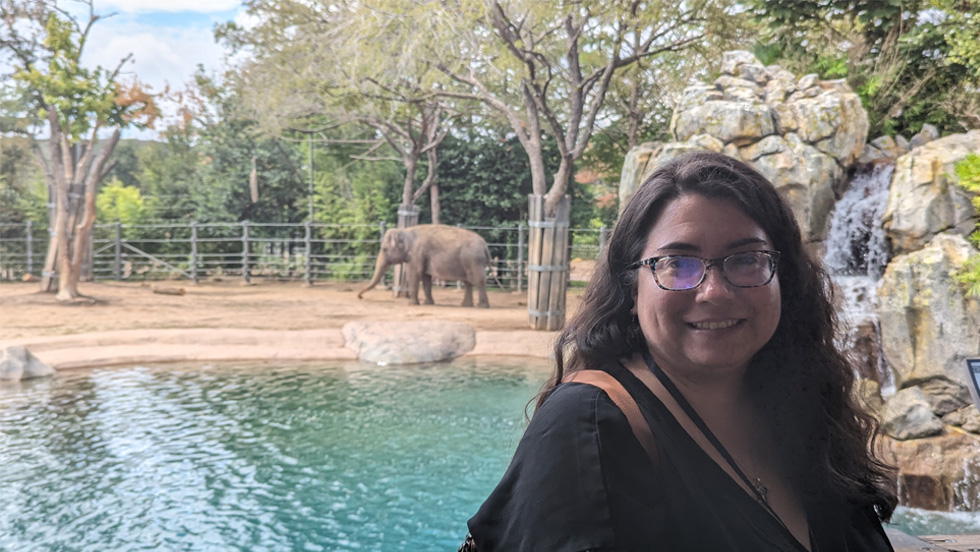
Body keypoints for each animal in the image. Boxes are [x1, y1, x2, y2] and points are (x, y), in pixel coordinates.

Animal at [356, 226, 490, 308]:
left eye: (384, 249)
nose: (360, 296)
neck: (404, 231)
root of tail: (484, 243)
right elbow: (426, 279)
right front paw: (428, 304)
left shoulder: (416, 254)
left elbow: (414, 275)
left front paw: (412, 304)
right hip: (468, 261)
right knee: (468, 282)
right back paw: (466, 305)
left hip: (473, 260)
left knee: (478, 281)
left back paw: (482, 306)